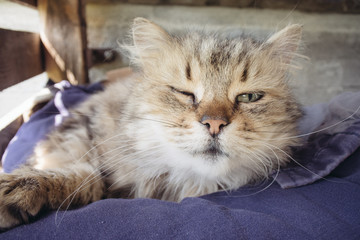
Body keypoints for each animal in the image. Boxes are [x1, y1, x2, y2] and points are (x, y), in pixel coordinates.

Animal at [0, 17, 304, 230]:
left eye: (249, 97)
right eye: (184, 93)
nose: (215, 123)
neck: (183, 184)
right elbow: (79, 175)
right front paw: (17, 188)